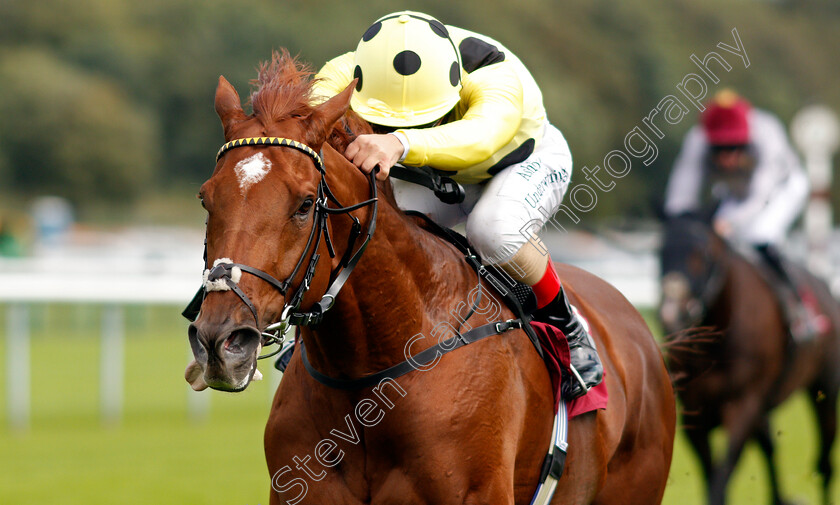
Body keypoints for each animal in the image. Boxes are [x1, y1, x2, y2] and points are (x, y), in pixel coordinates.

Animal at [660, 213, 836, 504]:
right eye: (659, 252)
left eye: (704, 254)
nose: (671, 313)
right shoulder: (696, 414)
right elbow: (712, 474)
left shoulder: (744, 402)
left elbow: (722, 475)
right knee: (770, 448)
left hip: (824, 391)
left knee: (824, 465)